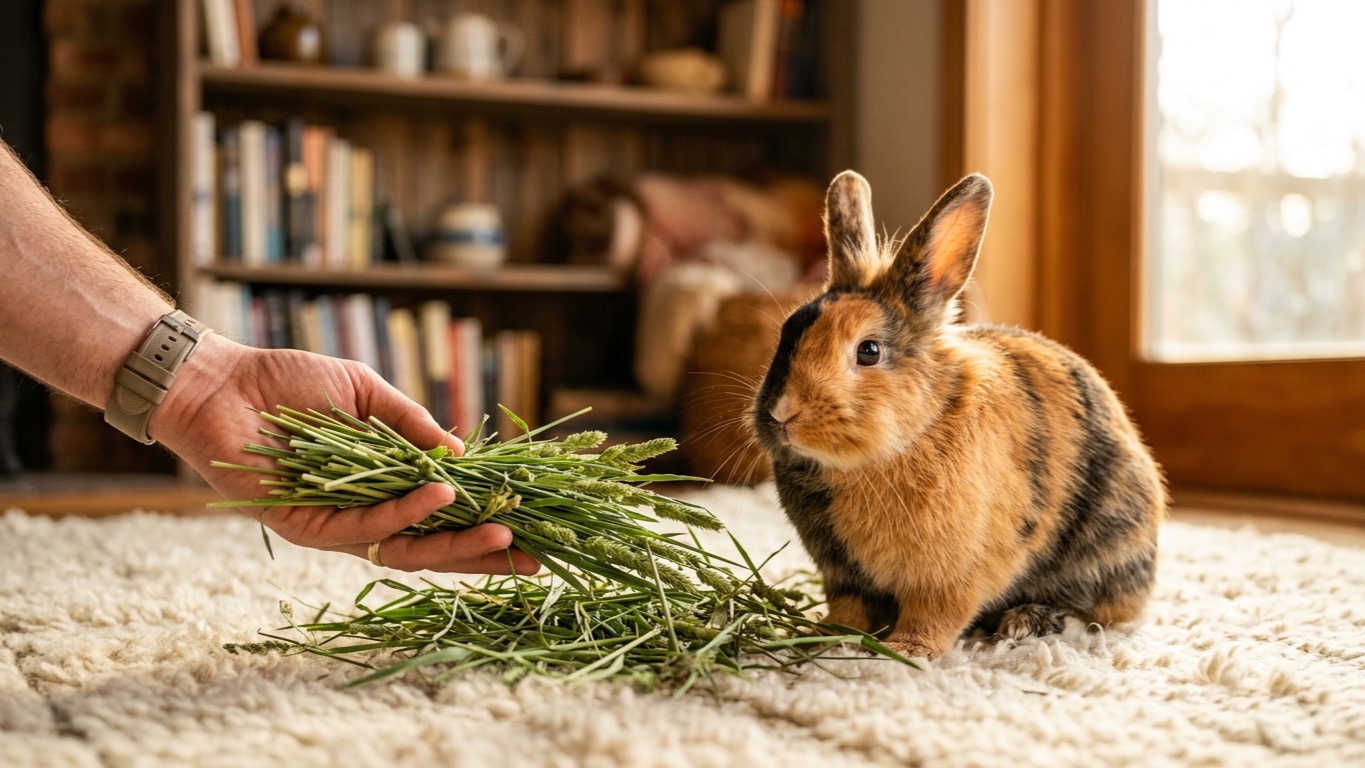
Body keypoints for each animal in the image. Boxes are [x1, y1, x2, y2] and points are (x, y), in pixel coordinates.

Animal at [751, 170, 1166, 658]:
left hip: (1103, 548)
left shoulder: (951, 575)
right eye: (786, 332)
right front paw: (824, 636)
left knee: (1093, 613)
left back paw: (1023, 623)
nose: (782, 415)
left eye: (869, 351)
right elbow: (849, 610)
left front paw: (909, 649)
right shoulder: (844, 578)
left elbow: (937, 613)